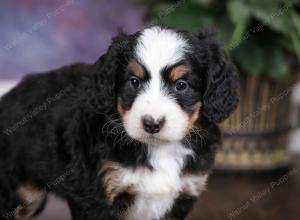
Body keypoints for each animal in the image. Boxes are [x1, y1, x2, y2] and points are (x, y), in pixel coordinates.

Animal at [0, 26, 237, 220]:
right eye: (134, 82)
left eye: (181, 85)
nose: (152, 124)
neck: (159, 150)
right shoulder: (98, 198)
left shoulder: (183, 195)